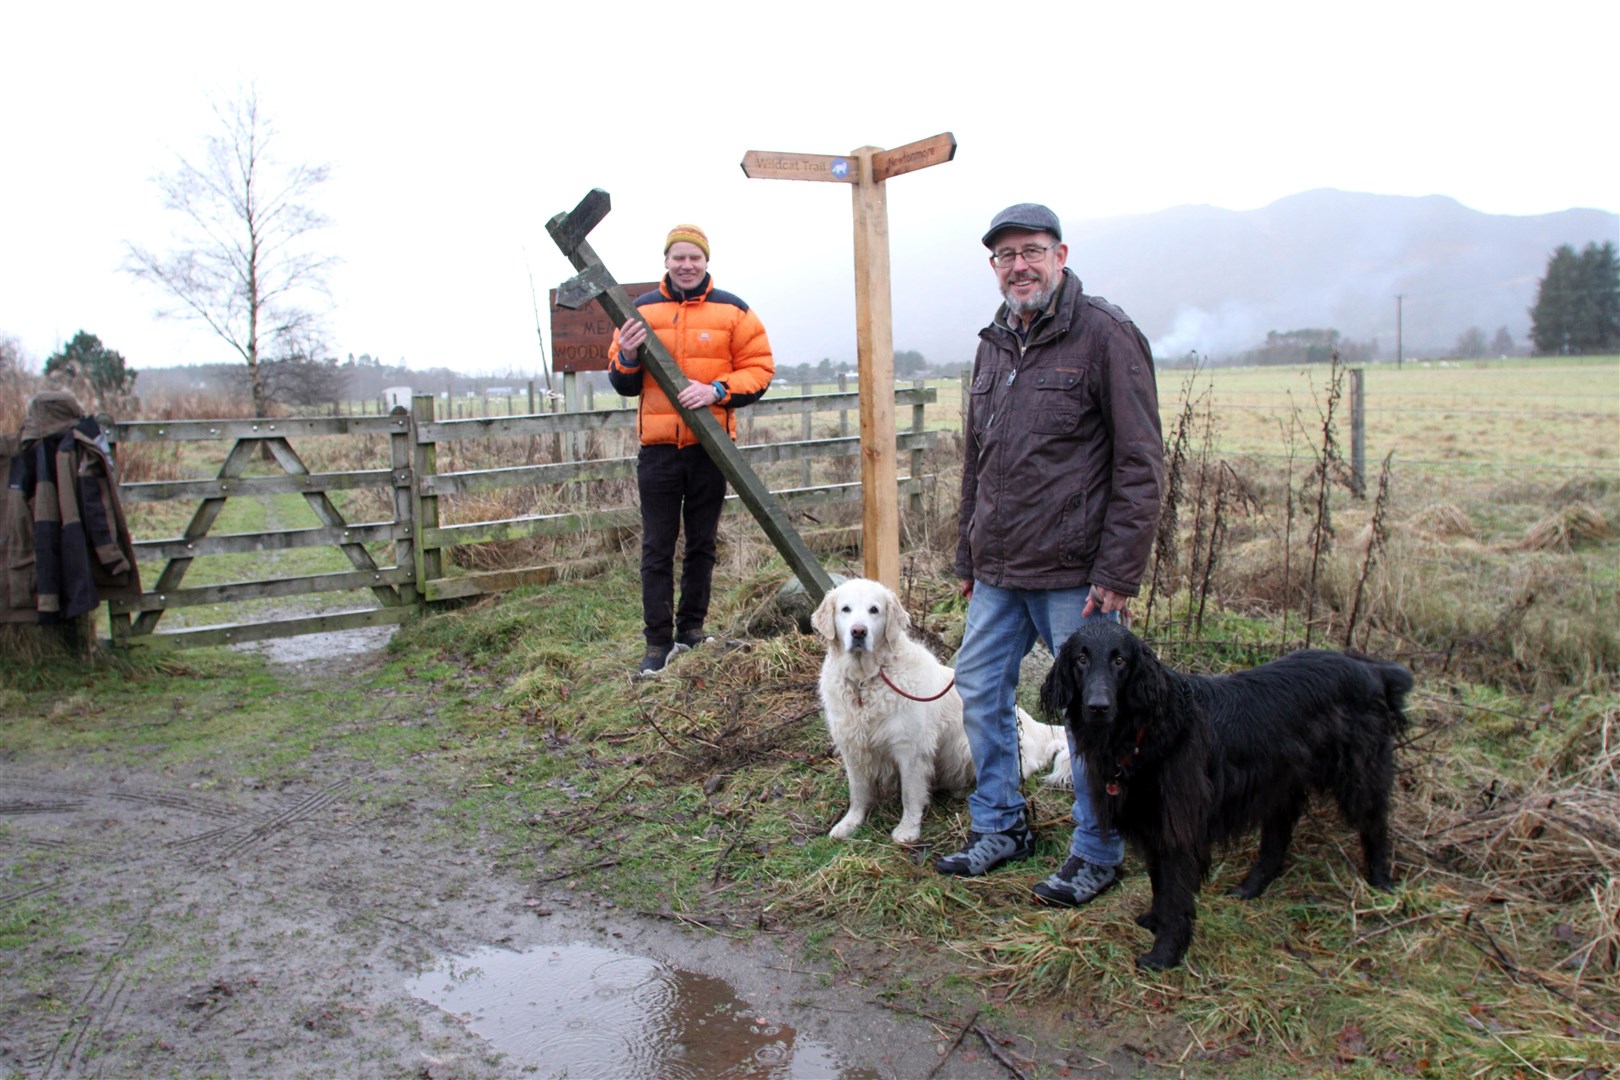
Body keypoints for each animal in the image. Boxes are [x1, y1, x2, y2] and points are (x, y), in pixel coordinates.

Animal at [1043, 621, 1412, 977]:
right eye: (1081, 659)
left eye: (1120, 661)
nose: (1098, 707)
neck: (1147, 730)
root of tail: (1370, 668)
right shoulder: (1155, 826)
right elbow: (1160, 885)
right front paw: (1155, 922)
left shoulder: (1180, 830)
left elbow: (1175, 895)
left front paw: (1165, 955)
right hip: (1281, 783)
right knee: (1276, 842)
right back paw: (1250, 888)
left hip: (1358, 775)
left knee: (1375, 826)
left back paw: (1381, 884)